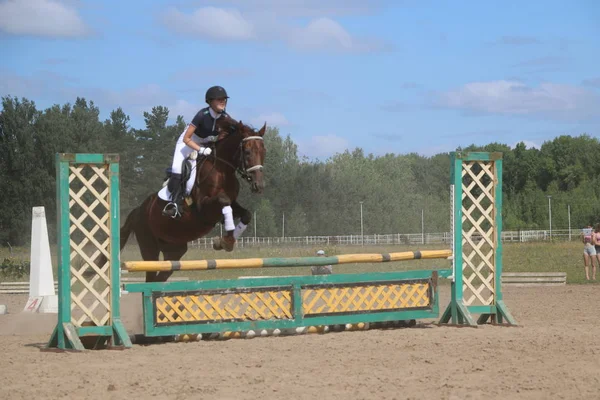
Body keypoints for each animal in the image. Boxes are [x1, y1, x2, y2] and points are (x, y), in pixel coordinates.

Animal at [117, 115, 268, 282]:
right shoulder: (204, 208)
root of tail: (138, 210)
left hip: (174, 251)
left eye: (263, 151)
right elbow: (223, 201)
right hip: (149, 247)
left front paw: (224, 242)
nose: (259, 185)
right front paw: (226, 241)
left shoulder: (232, 204)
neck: (222, 170)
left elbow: (246, 214)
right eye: (247, 152)